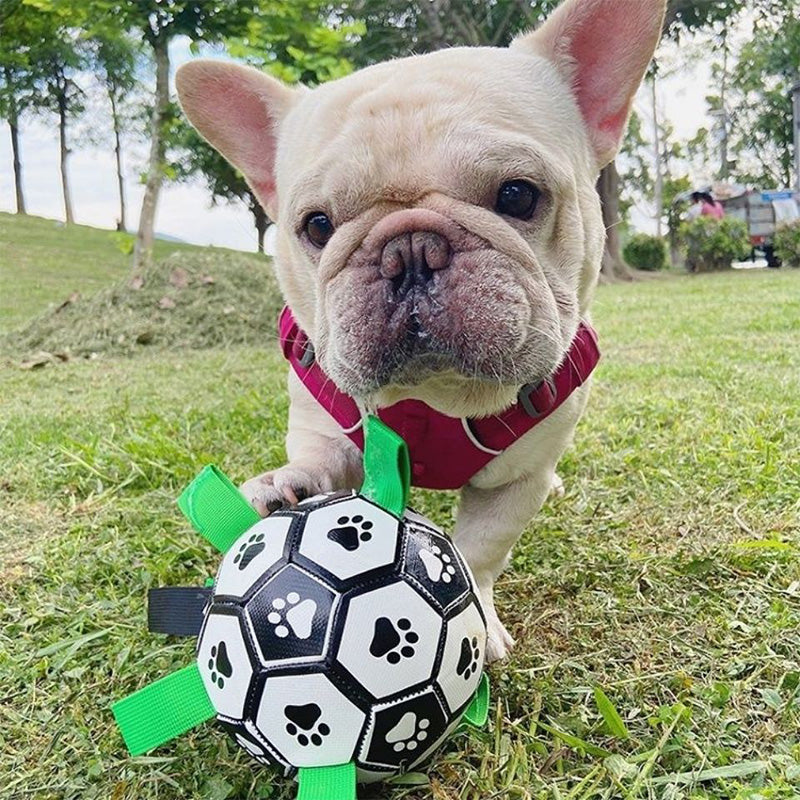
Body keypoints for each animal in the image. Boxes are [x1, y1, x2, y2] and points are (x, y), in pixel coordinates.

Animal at [177, 0, 668, 664]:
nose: (409, 250)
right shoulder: (325, 425)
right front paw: (286, 486)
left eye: (518, 195)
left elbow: (480, 552)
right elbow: (318, 461)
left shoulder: (515, 483)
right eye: (317, 226)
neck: (436, 397)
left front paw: (477, 618)